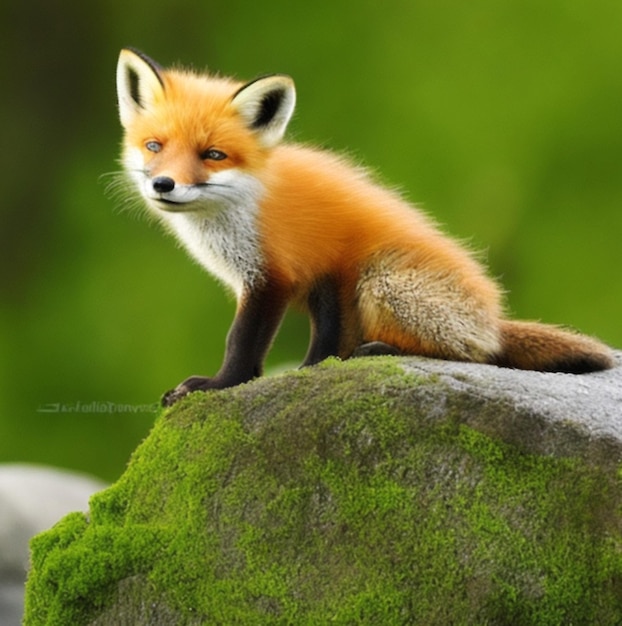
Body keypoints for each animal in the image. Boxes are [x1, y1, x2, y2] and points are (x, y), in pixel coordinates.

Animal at [117, 45, 620, 404]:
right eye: (155, 146)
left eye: (213, 155)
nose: (163, 184)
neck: (245, 206)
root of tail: (493, 316)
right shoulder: (313, 275)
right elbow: (321, 337)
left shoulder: (281, 273)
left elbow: (242, 341)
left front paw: (220, 385)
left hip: (382, 281)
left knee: (478, 353)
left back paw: (385, 350)